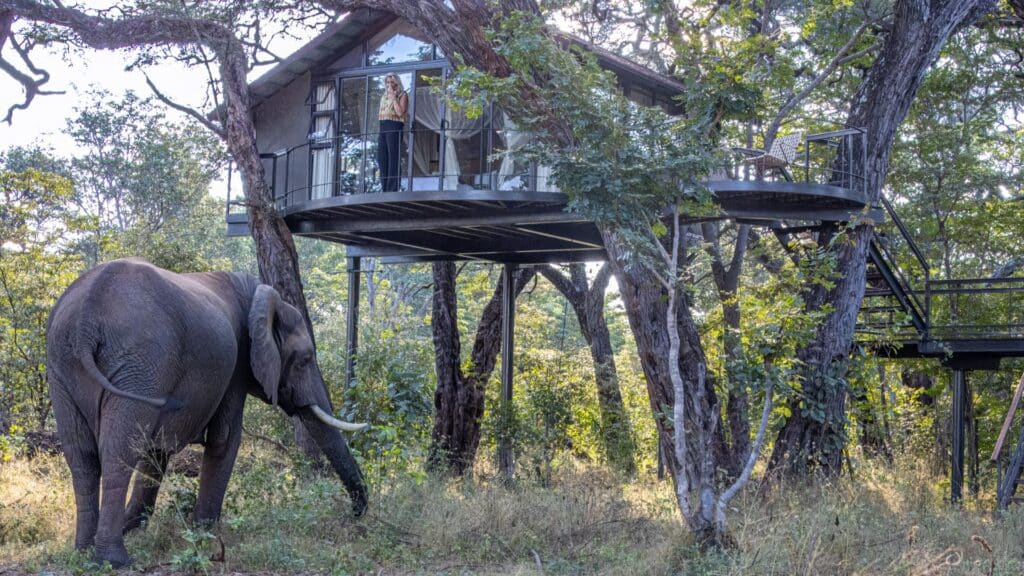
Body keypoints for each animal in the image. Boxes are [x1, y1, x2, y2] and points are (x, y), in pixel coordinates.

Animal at [46, 258, 368, 567]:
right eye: (305, 359)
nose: (355, 514)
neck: (260, 297)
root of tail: (87, 317)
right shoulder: (237, 363)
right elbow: (225, 438)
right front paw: (203, 531)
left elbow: (156, 449)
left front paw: (136, 527)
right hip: (140, 362)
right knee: (118, 452)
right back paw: (114, 561)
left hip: (64, 366)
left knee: (82, 457)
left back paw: (84, 553)